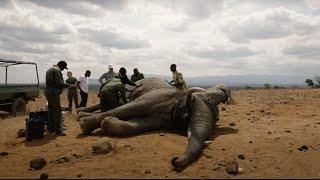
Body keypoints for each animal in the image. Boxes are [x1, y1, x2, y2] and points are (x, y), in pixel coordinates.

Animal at [77, 77, 230, 172]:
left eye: (215, 120)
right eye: (192, 103)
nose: (175, 159)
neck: (178, 98)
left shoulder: (165, 118)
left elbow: (137, 124)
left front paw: (106, 123)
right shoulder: (156, 97)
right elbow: (130, 108)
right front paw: (84, 124)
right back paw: (80, 114)